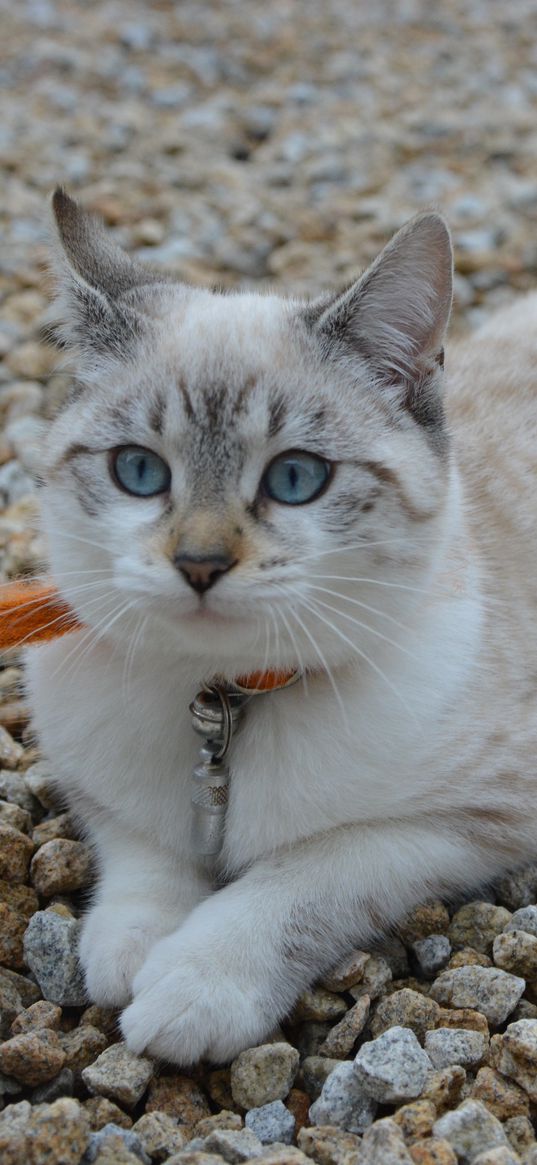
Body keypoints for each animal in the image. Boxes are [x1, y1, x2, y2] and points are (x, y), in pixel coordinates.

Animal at [26, 188, 537, 1067]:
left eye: (296, 478)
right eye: (138, 471)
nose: (198, 563)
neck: (223, 700)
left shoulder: (463, 819)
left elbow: (302, 878)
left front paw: (194, 982)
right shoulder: (93, 774)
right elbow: (143, 847)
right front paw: (129, 946)